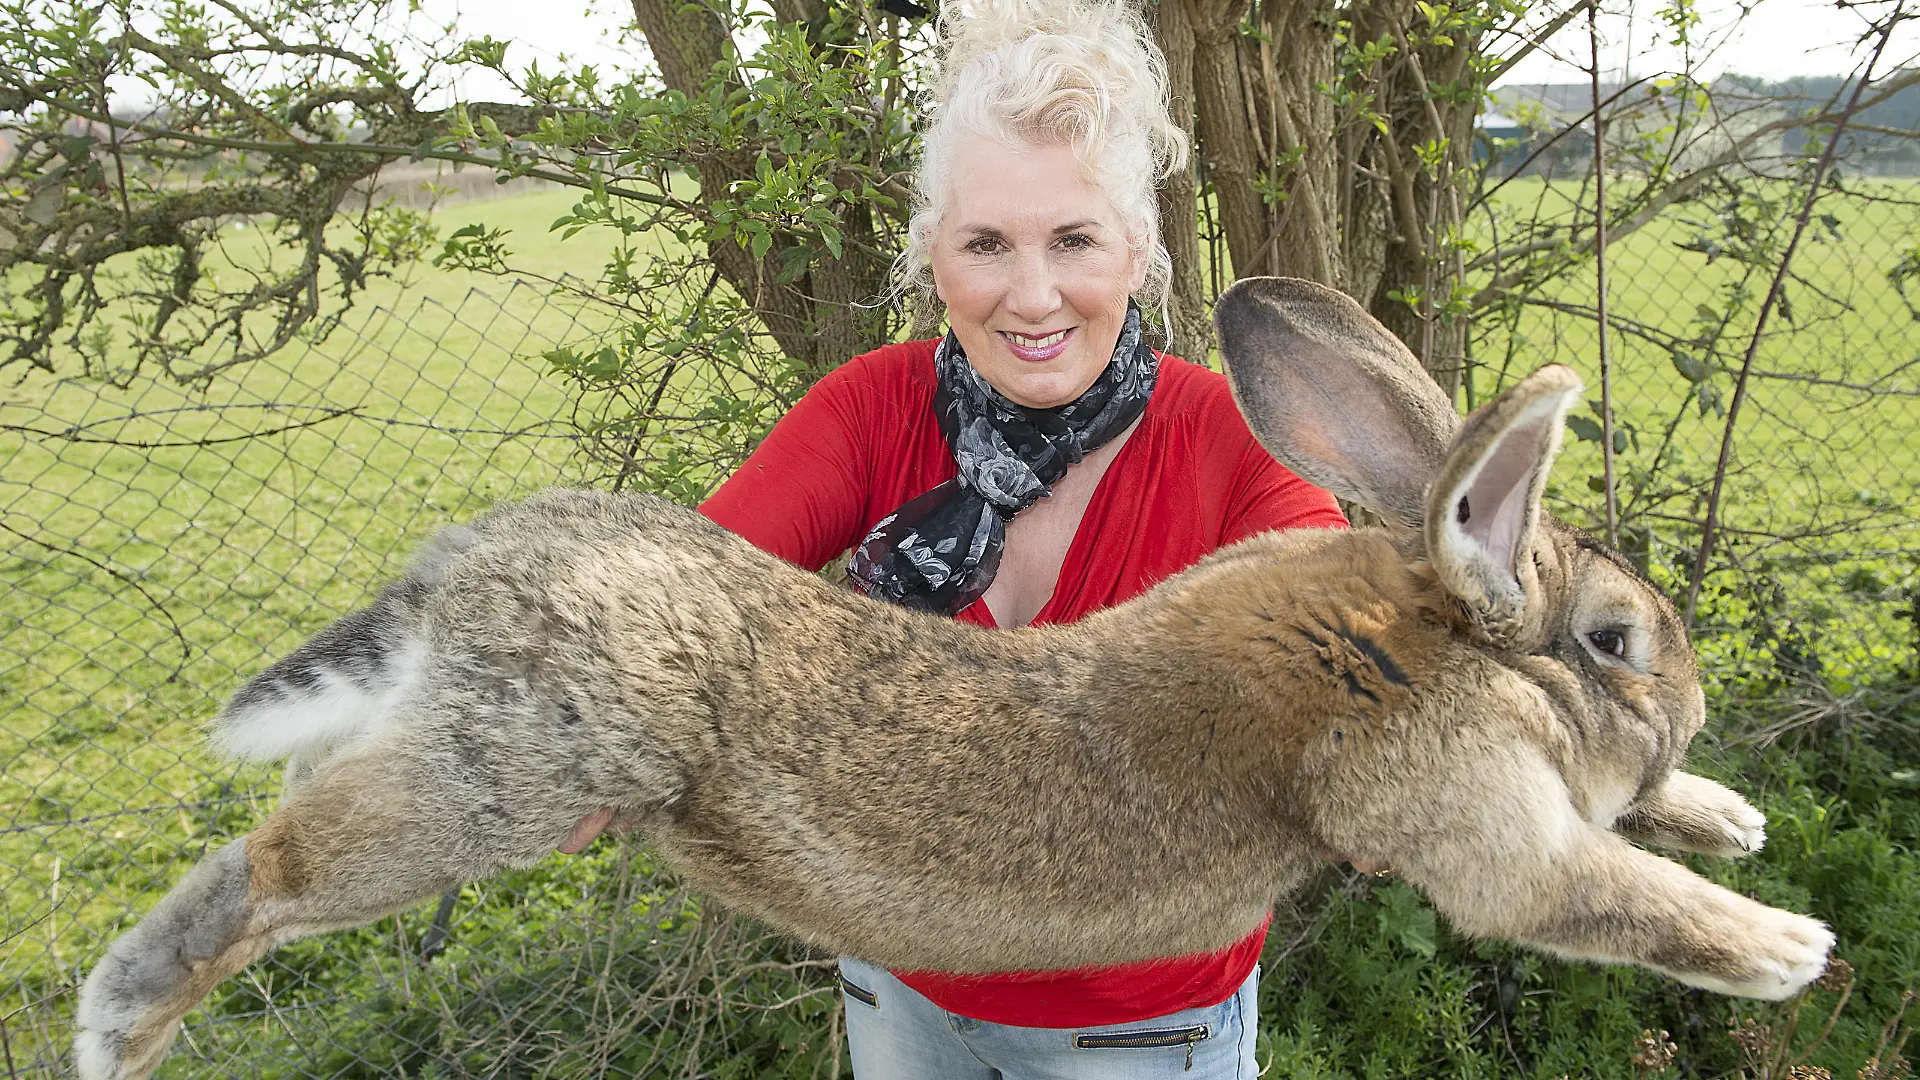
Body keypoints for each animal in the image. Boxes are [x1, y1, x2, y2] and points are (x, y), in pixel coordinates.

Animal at [73, 277, 1832, 1080]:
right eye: (1615, 642)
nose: (1688, 709)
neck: (1423, 636)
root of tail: (459, 574)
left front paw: (1731, 816)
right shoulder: (1473, 816)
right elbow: (1600, 895)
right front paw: (1785, 945)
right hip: (503, 780)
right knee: (271, 870)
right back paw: (119, 1021)